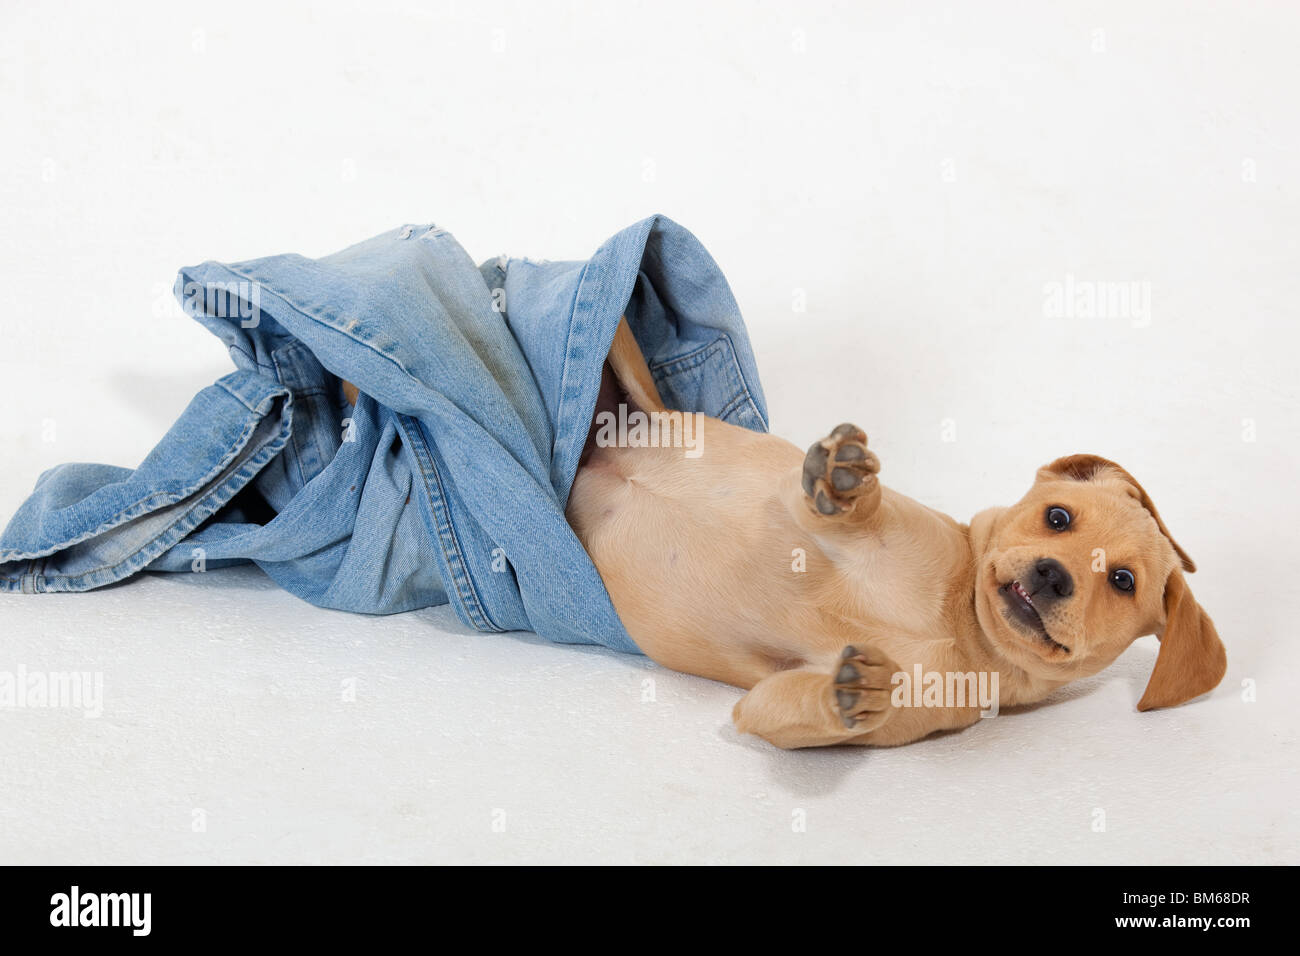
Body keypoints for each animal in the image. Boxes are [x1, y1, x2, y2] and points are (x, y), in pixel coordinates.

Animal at [564, 319, 1222, 749]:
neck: (953, 627)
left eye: (1122, 581)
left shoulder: (774, 698)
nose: (1052, 575)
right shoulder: (816, 512)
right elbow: (839, 509)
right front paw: (844, 482)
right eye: (1058, 518)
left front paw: (854, 693)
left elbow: (793, 709)